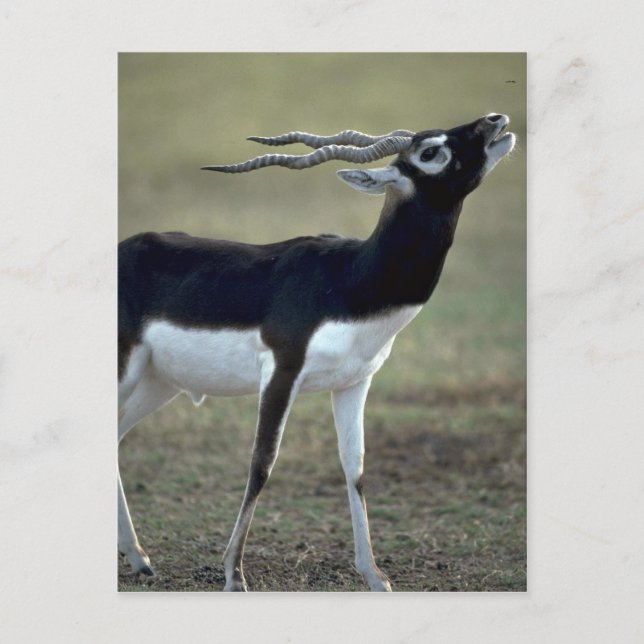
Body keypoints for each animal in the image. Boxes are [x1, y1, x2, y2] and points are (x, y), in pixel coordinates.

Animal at [118, 113, 516, 591]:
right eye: (430, 152)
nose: (494, 120)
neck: (350, 280)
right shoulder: (282, 371)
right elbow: (262, 464)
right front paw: (234, 575)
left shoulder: (354, 383)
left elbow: (355, 467)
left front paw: (375, 576)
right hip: (126, 370)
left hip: (158, 383)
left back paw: (139, 559)